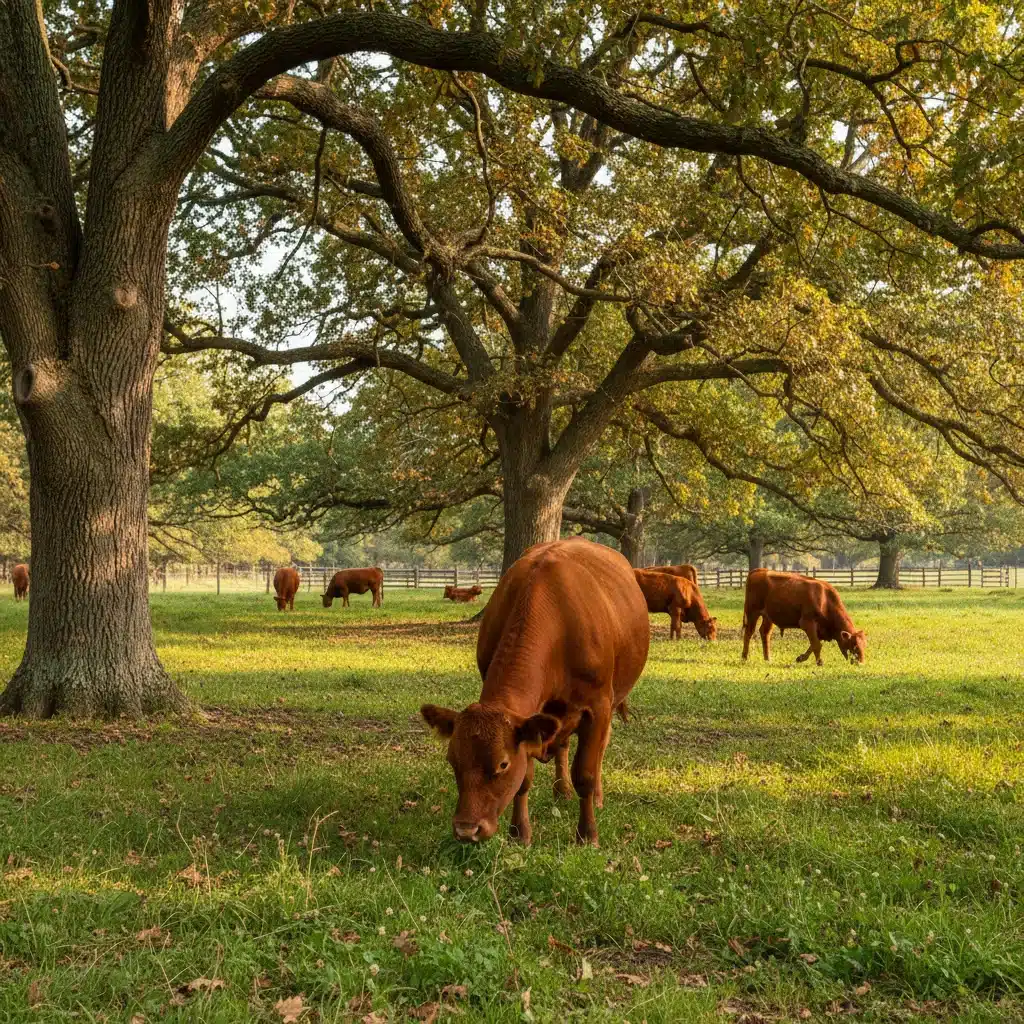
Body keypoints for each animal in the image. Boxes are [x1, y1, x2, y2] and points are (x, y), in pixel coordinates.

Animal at [421, 538, 649, 847]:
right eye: (452, 760)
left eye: (502, 764)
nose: (467, 829)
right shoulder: (527, 721)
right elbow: (524, 780)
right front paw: (520, 833)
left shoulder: (598, 706)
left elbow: (586, 774)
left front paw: (588, 835)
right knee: (563, 746)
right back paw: (562, 791)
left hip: (611, 701)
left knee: (600, 749)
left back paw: (598, 798)